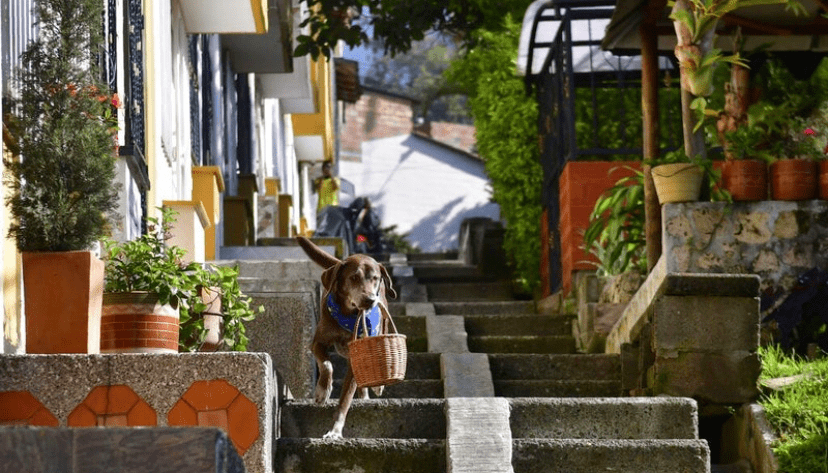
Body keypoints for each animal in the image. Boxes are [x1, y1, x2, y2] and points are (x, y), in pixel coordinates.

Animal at [294, 236, 398, 438]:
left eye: (375, 278)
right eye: (354, 277)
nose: (370, 299)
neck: (348, 314)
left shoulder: (356, 357)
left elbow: (345, 399)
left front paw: (335, 431)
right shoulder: (317, 342)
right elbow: (327, 365)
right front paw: (322, 391)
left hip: (383, 327)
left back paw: (375, 387)